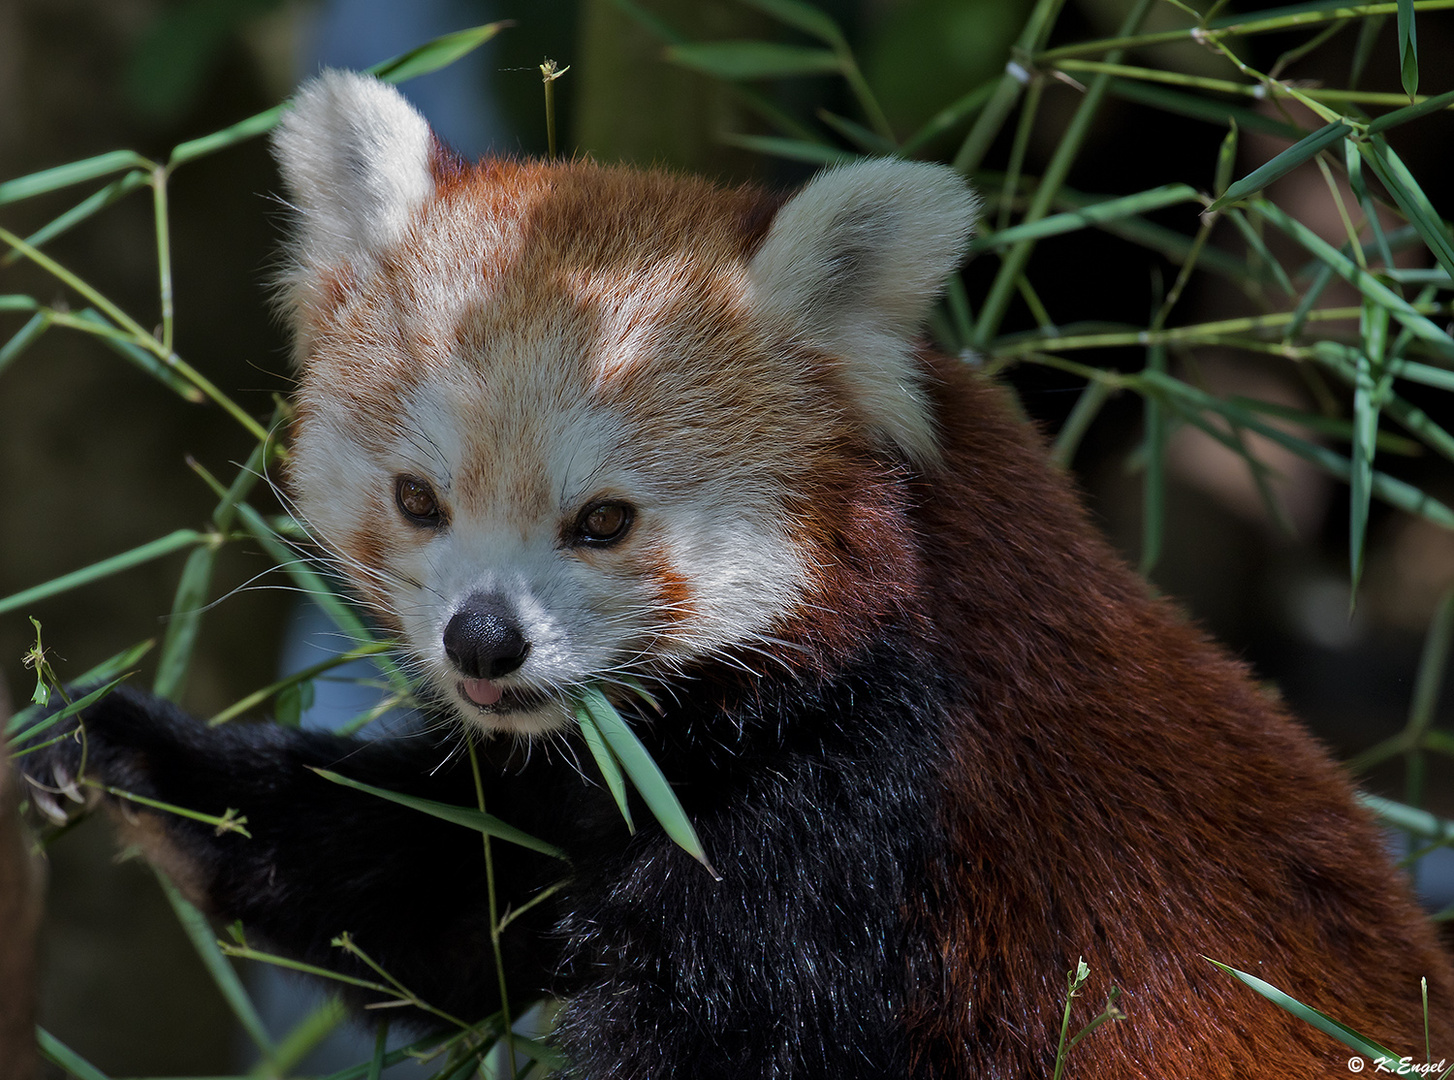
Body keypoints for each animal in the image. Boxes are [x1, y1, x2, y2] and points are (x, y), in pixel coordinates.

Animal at [22, 71, 1454, 1075]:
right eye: (419, 502)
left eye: (602, 521)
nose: (484, 644)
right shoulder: (583, 783)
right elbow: (419, 890)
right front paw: (121, 750)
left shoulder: (863, 809)